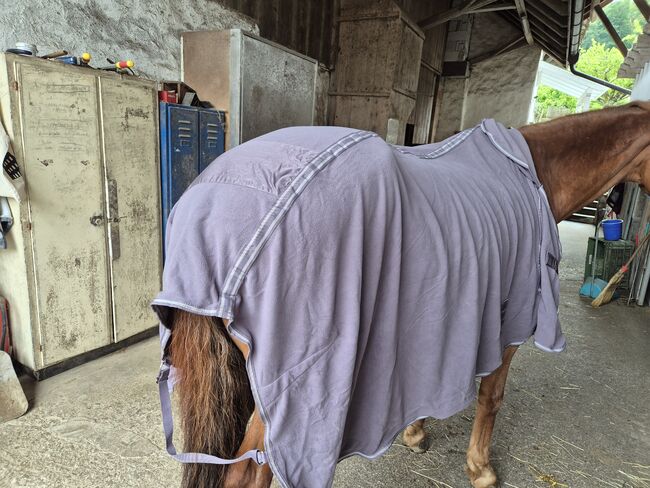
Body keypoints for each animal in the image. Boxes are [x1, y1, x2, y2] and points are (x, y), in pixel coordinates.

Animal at [155, 102, 650, 488]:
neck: (533, 173)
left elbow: (423, 386)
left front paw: (415, 435)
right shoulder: (511, 319)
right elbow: (491, 398)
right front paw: (481, 470)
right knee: (249, 471)